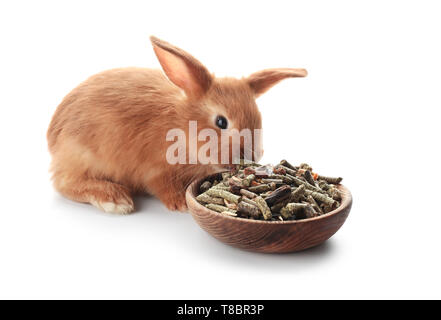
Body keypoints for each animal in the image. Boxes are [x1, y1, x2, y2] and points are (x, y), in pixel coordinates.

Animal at [45, 36, 306, 214]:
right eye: (221, 122)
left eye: (258, 117)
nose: (249, 157)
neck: (181, 125)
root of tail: (53, 140)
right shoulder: (156, 170)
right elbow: (162, 187)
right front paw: (182, 203)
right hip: (83, 156)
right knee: (64, 183)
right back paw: (115, 199)